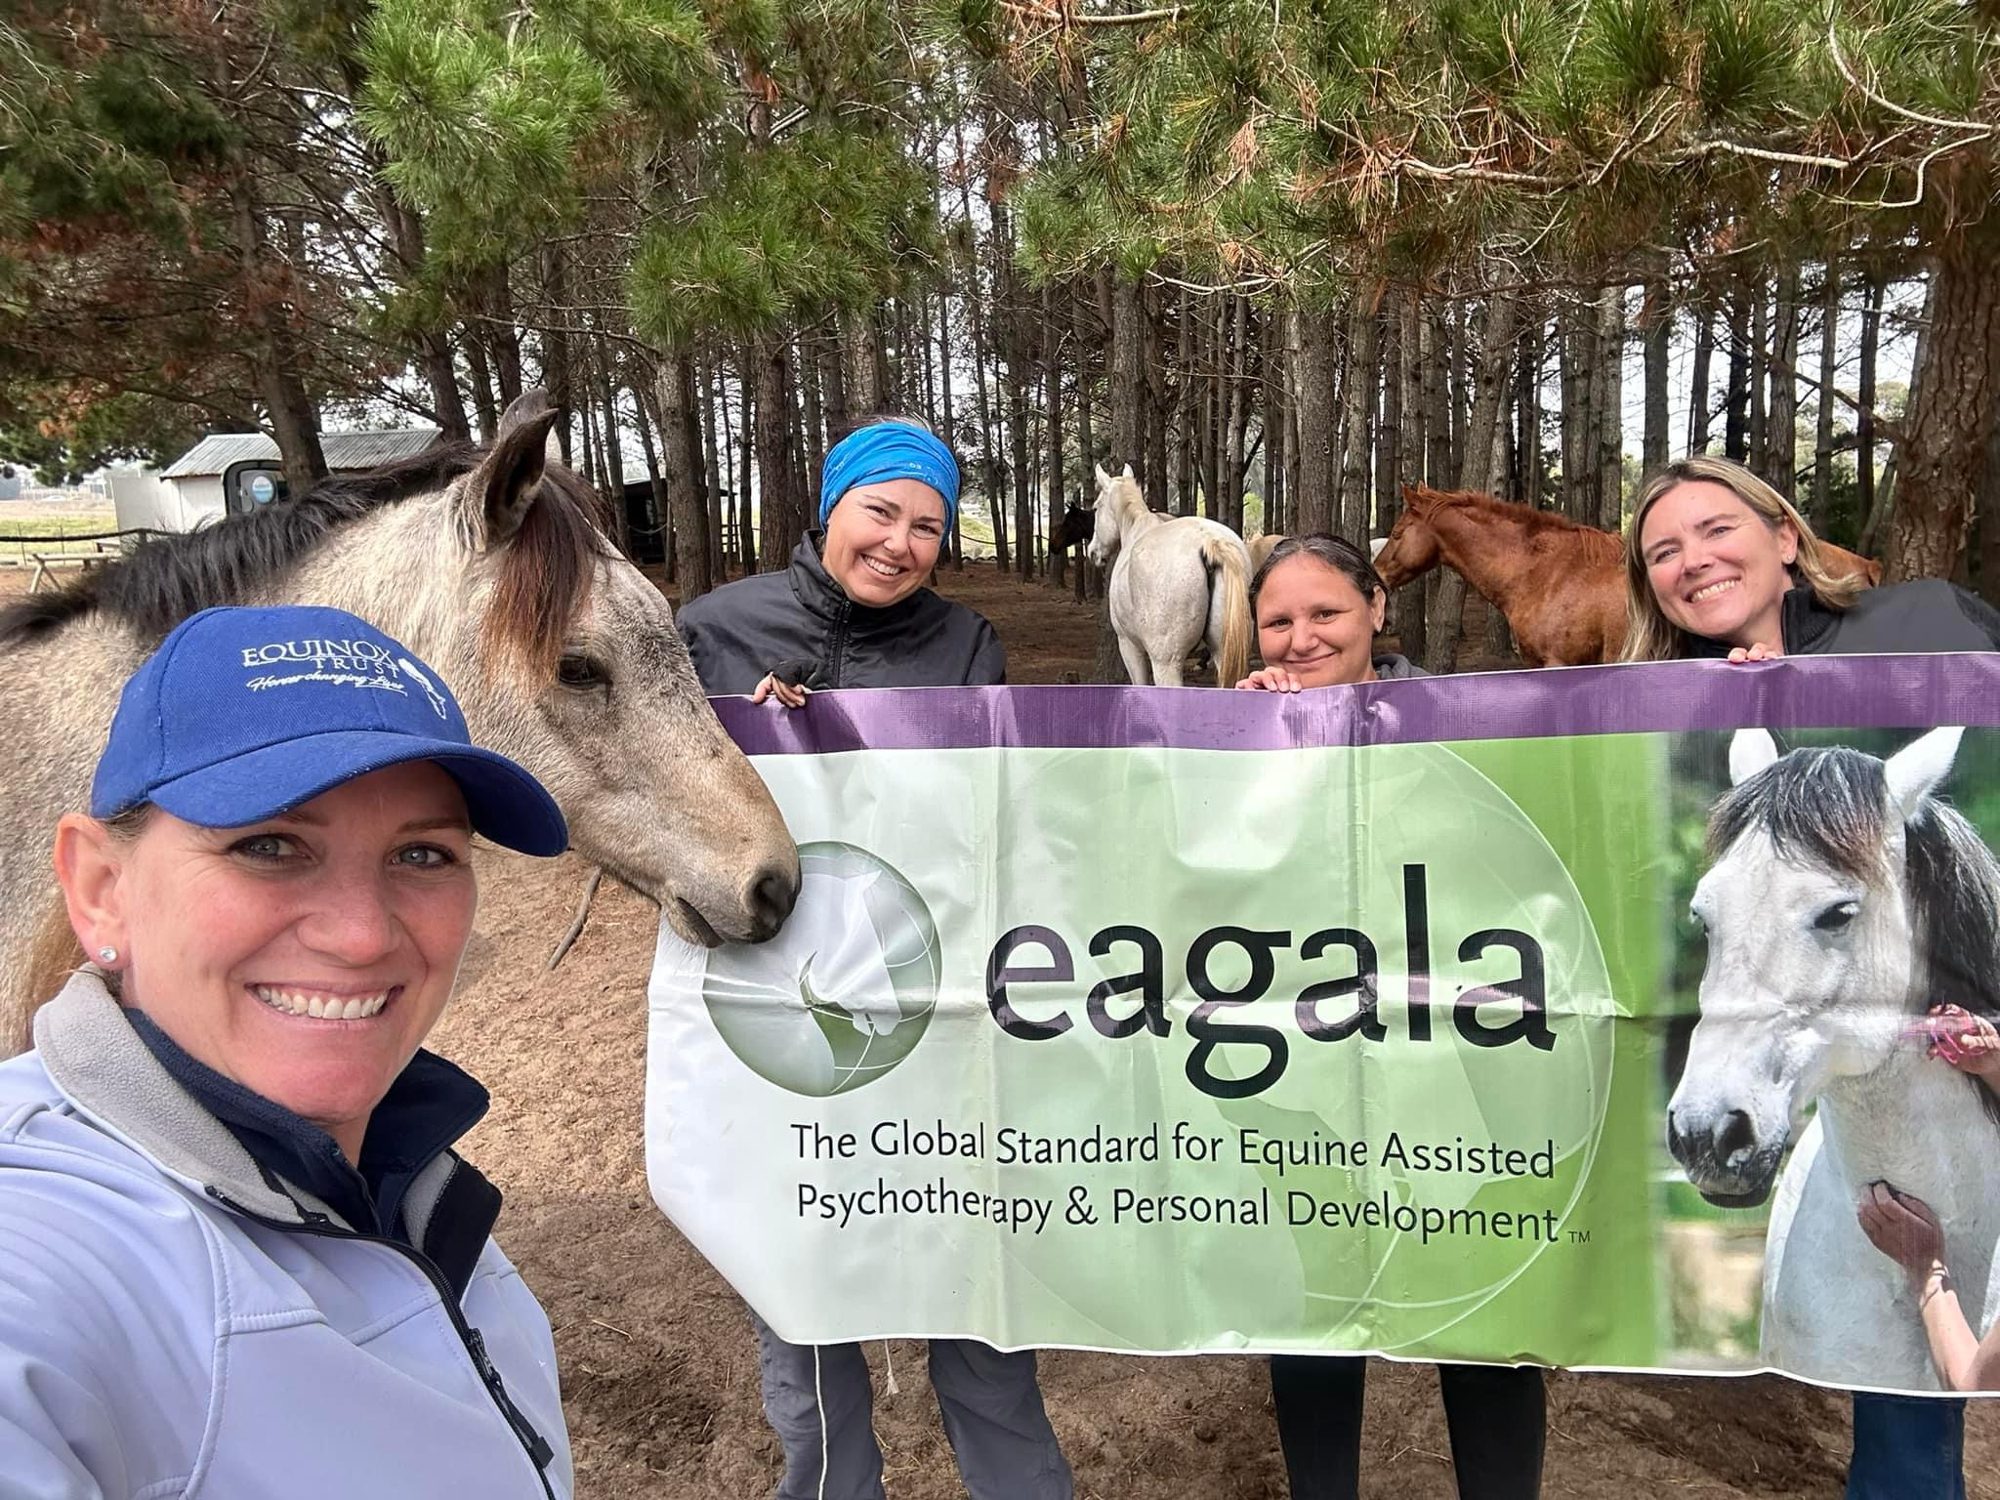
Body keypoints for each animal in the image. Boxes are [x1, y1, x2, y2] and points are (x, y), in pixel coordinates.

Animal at [1064, 468, 1248, 692]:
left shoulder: (1129, 646)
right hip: (1223, 653)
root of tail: (1209, 541)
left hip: (1166, 663)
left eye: (1096, 508)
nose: (1093, 552)